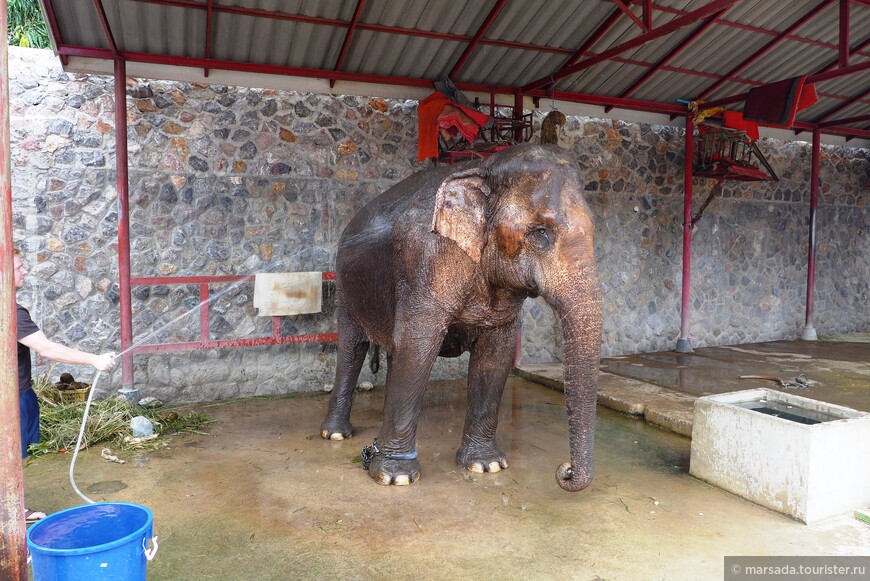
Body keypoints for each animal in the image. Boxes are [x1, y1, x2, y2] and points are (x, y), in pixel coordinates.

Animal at [324, 144, 604, 490]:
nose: (564, 470)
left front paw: (486, 466)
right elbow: (418, 347)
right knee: (352, 348)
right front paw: (395, 477)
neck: (484, 167)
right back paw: (336, 434)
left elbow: (495, 356)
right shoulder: (426, 259)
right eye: (541, 233)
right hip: (346, 285)